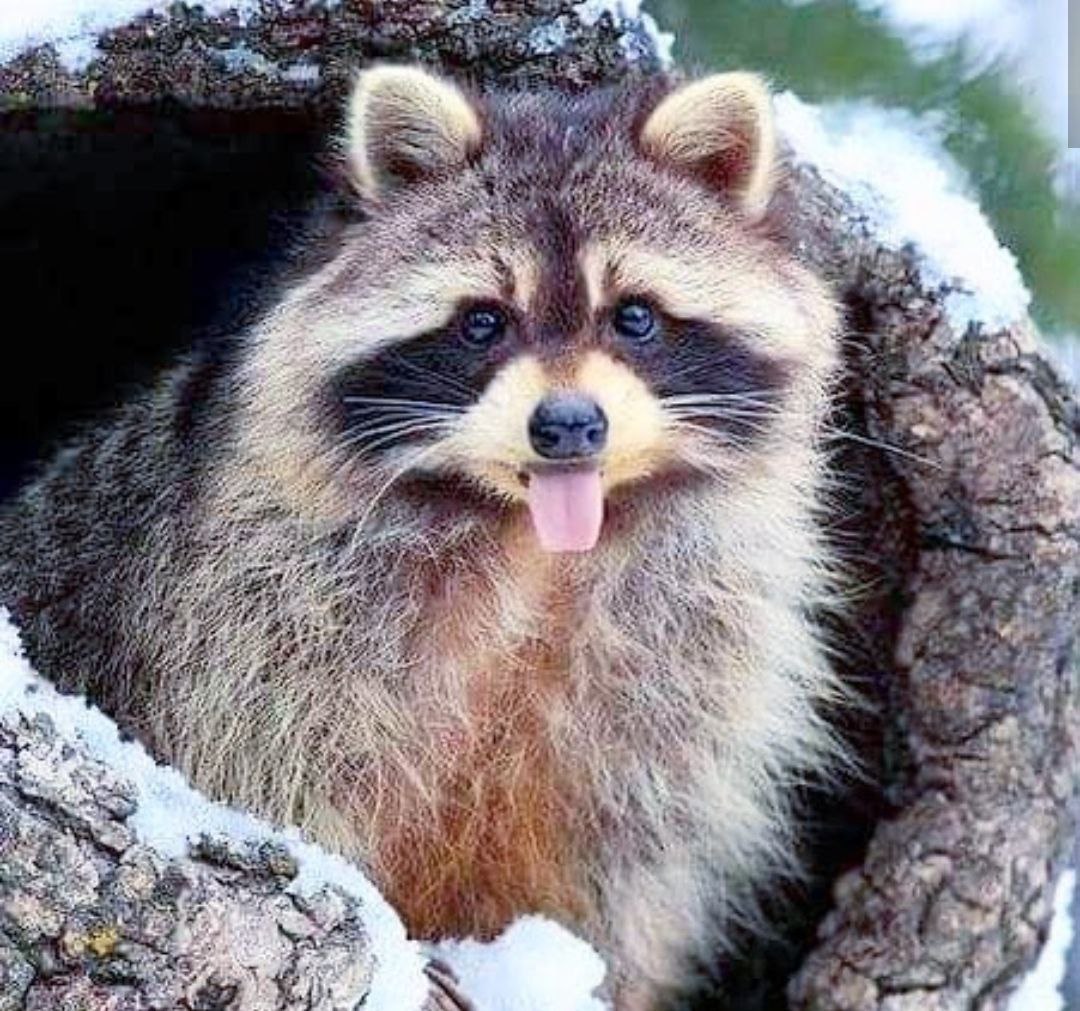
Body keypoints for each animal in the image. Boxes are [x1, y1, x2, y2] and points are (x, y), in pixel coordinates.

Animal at [0, 66, 841, 1008]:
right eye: (483, 321)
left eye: (633, 316)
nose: (568, 424)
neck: (534, 546)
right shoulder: (252, 618)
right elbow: (270, 776)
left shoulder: (683, 662)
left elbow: (629, 849)